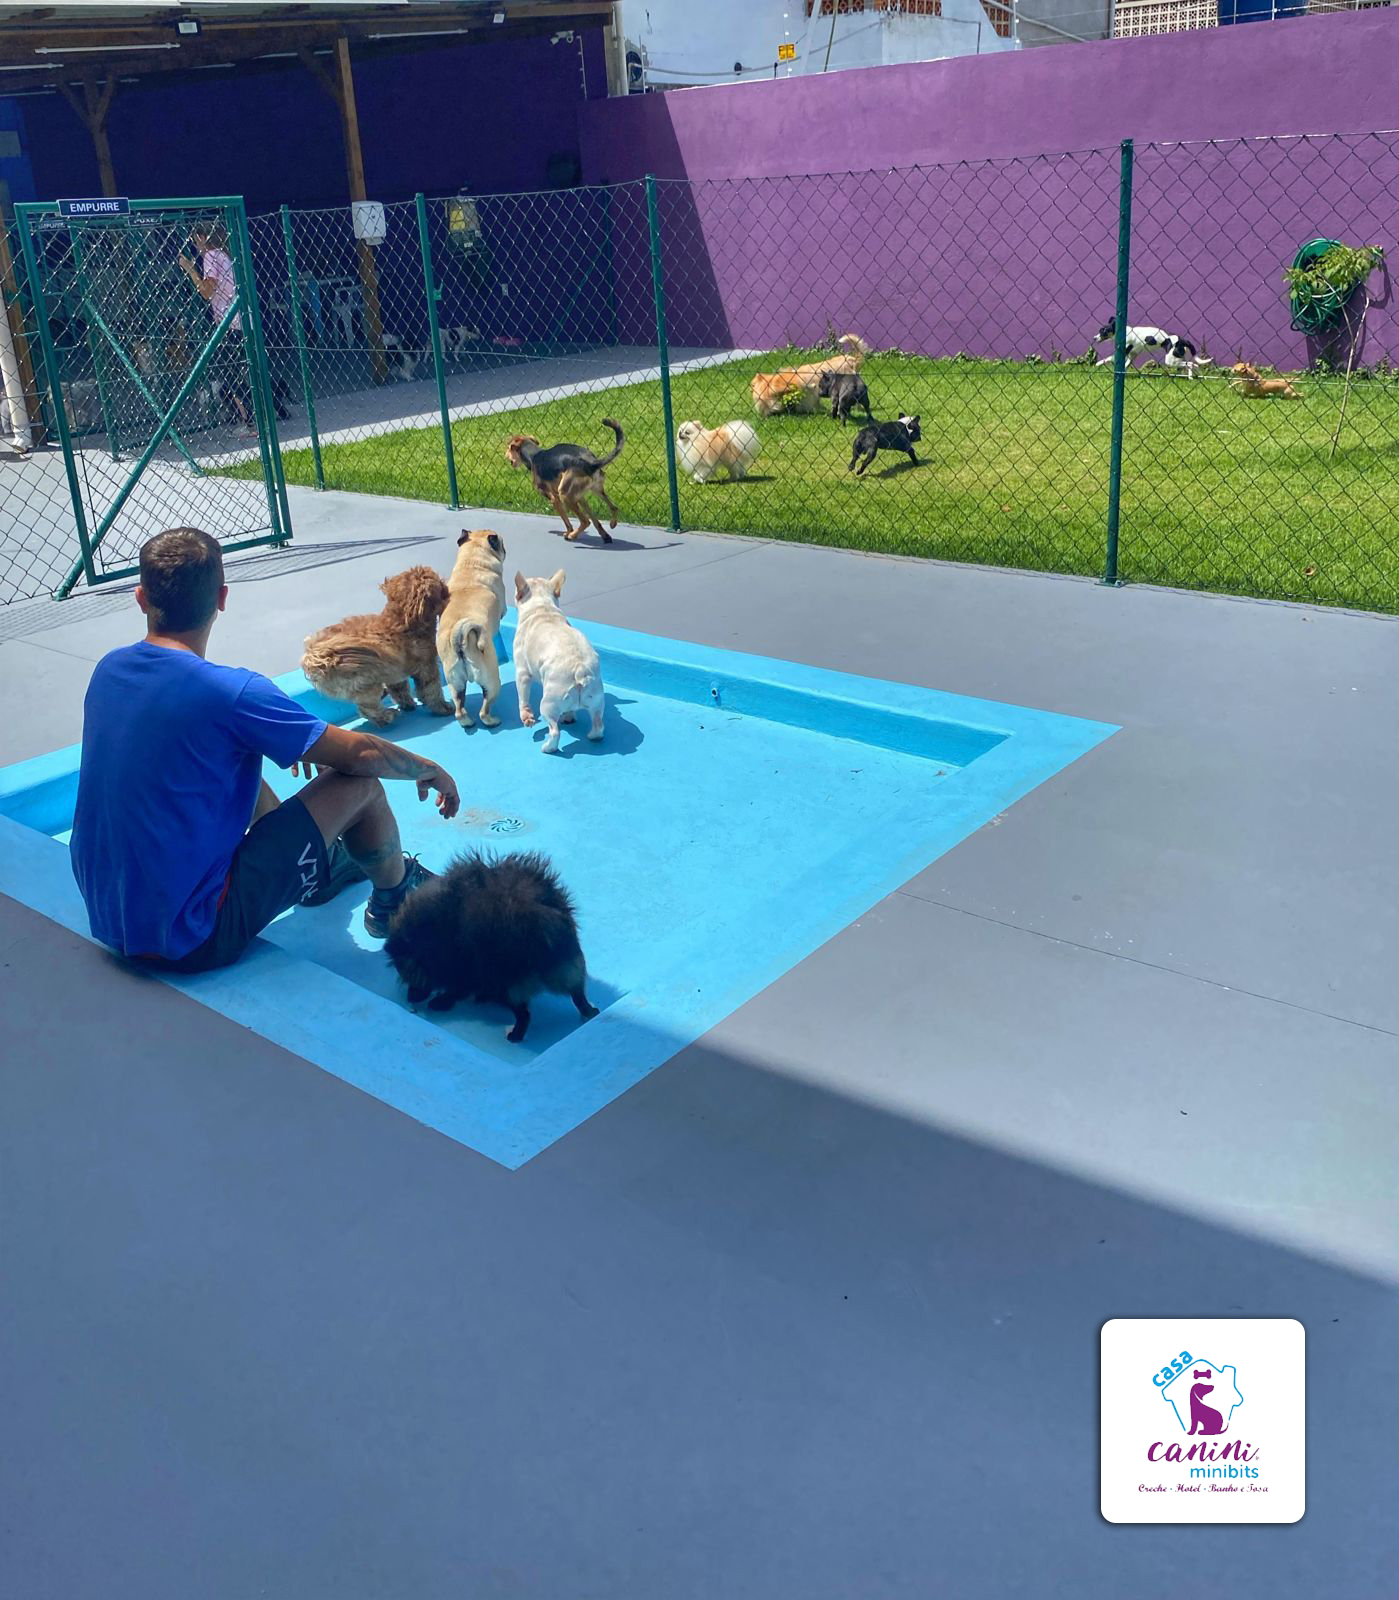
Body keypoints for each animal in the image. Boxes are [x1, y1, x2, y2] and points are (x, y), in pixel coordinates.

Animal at [301, 566, 452, 726]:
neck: (403, 619)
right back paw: (386, 716)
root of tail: (314, 657)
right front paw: (442, 707)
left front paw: (408, 704)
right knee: (367, 708)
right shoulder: (426, 665)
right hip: (365, 682)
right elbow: (431, 690)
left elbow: (400, 690)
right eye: (439, 582)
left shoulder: (395, 672)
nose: (446, 586)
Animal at [384, 849, 599, 1042]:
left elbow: (458, 988)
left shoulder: (465, 964)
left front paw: (443, 1001)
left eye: (409, 974)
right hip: (566, 967)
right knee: (577, 992)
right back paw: (589, 1011)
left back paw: (515, 1035)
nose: (410, 998)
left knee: (524, 1014)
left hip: (508, 983)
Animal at [437, 529, 508, 727]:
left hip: (455, 684)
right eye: (502, 544)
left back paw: (467, 722)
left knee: (459, 710)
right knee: (484, 710)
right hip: (492, 681)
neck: (472, 563)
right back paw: (492, 721)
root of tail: (459, 637)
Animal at [513, 570, 604, 754]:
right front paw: (569, 716)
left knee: (554, 731)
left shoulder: (522, 673)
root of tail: (580, 668)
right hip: (596, 699)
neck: (542, 607)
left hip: (548, 704)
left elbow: (523, 698)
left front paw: (526, 717)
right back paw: (592, 735)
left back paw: (548, 747)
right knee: (598, 724)